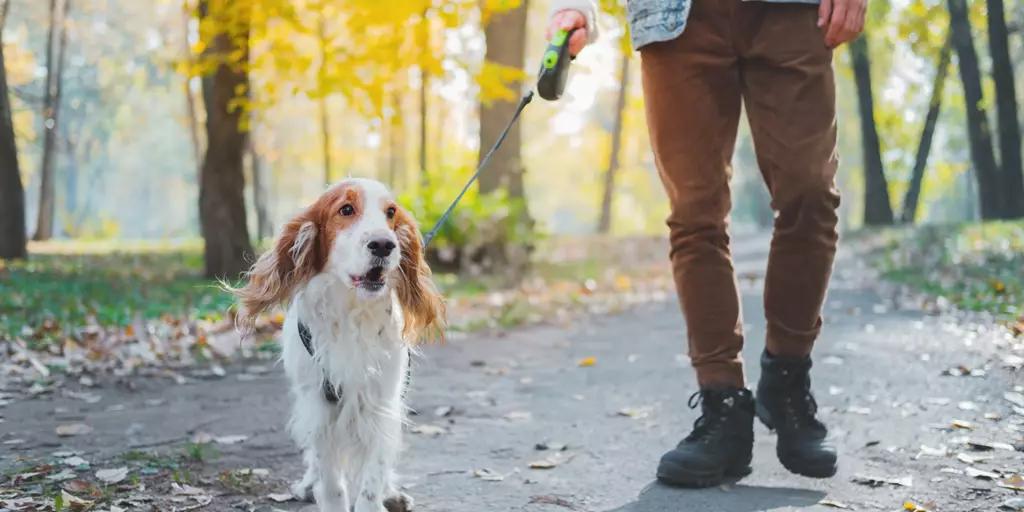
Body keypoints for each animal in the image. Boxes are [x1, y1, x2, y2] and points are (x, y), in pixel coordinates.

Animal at [234, 177, 446, 512]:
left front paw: (376, 499)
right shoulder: (319, 404)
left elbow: (373, 474)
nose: (384, 244)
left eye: (390, 212)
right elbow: (330, 477)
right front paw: (327, 494)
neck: (352, 313)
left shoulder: (381, 403)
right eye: (346, 209)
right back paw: (308, 486)